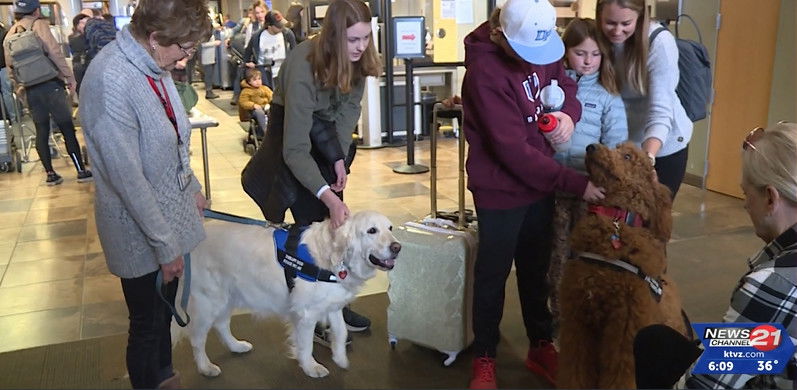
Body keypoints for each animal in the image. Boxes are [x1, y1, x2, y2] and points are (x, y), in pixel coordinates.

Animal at [182, 210, 404, 378]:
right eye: (372, 231)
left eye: (390, 228)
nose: (397, 247)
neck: (332, 258)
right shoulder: (306, 314)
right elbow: (306, 344)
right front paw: (310, 367)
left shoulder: (332, 304)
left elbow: (341, 331)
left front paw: (340, 357)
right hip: (208, 301)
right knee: (197, 338)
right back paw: (205, 367)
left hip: (228, 296)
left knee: (221, 324)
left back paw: (236, 346)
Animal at [552, 143, 692, 390]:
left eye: (627, 156)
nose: (591, 146)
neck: (615, 221)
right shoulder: (578, 322)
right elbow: (575, 370)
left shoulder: (625, 330)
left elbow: (620, 376)